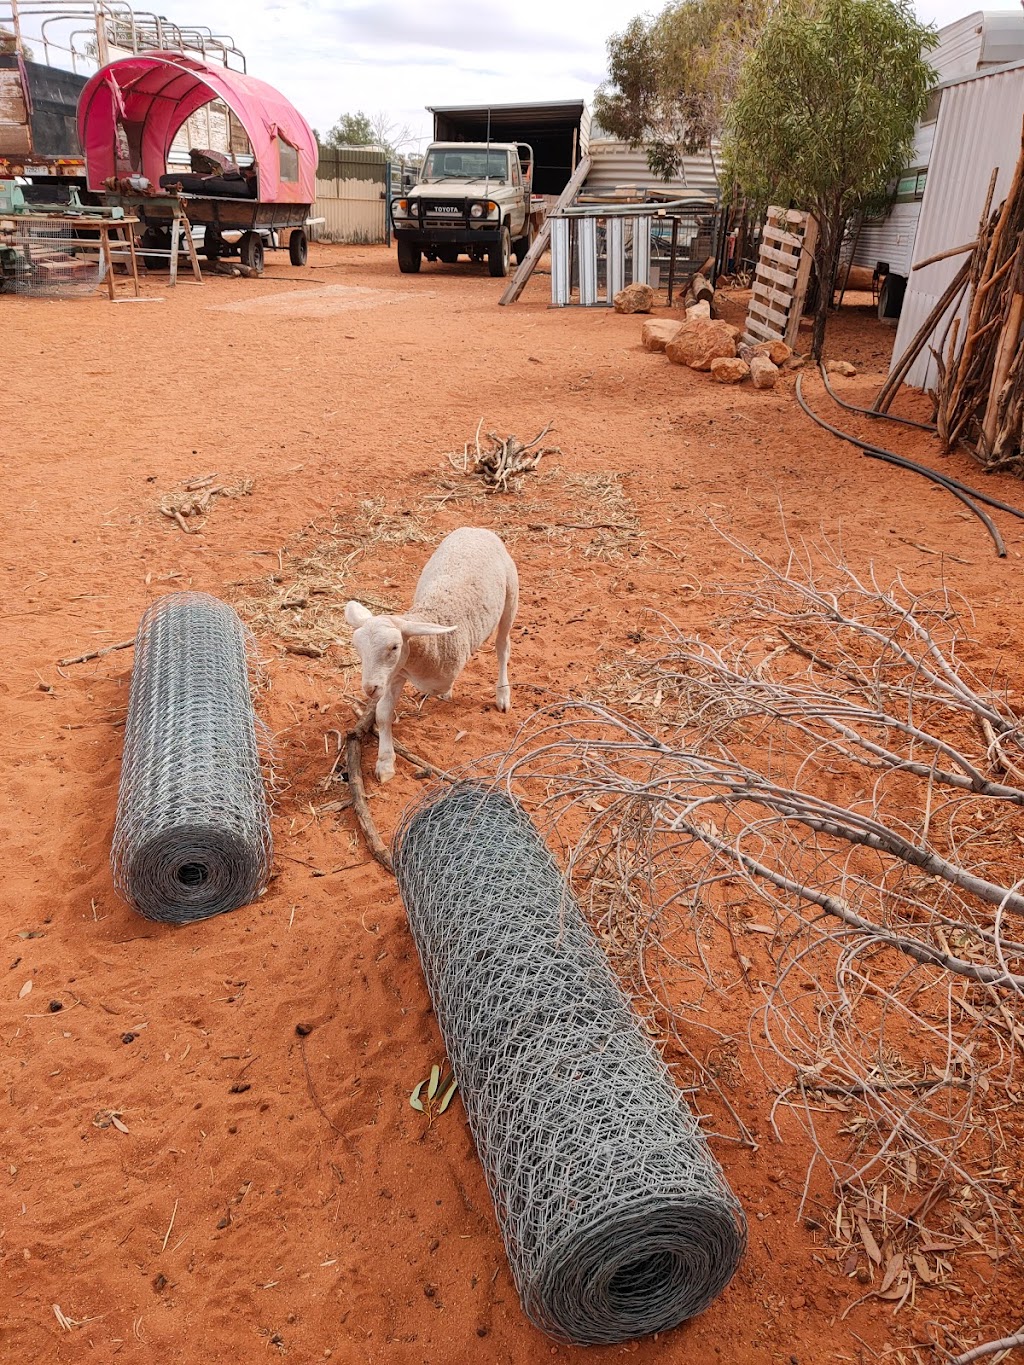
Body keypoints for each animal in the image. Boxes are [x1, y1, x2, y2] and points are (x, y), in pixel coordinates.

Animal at [346, 524, 521, 786]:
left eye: (394, 647)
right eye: (358, 648)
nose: (369, 688)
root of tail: (476, 529)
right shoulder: (396, 674)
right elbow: (383, 714)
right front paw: (385, 763)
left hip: (511, 596)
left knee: (502, 647)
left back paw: (503, 694)